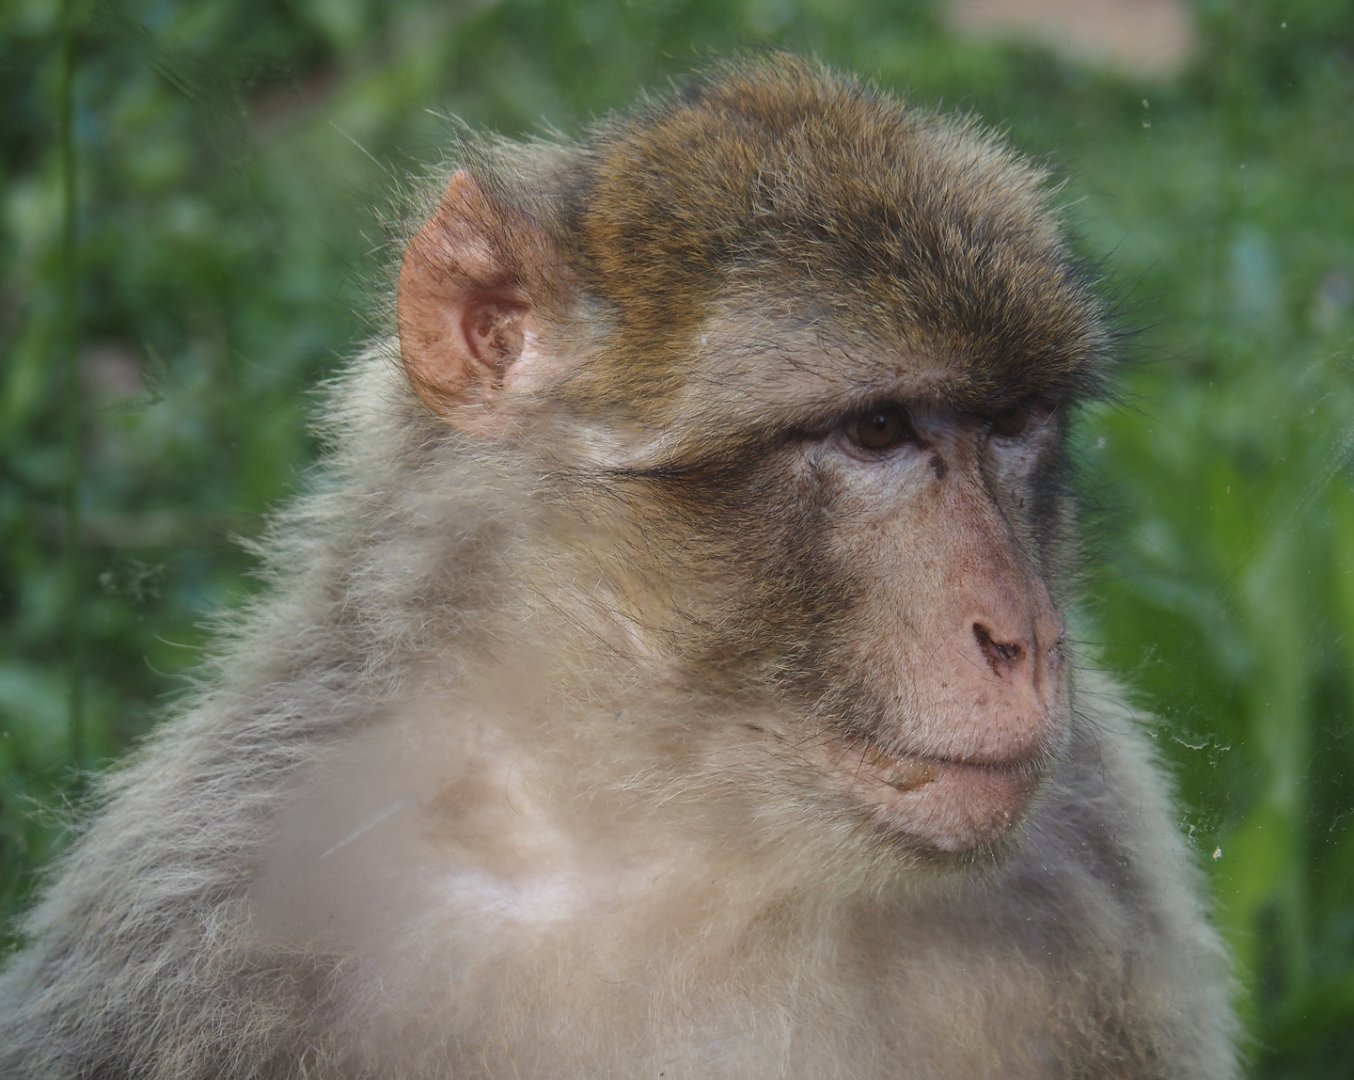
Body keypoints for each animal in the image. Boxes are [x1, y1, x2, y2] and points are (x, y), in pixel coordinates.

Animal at [0, 57, 1236, 1079]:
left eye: (1015, 424)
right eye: (877, 430)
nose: (1025, 640)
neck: (672, 840)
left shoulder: (1098, 862)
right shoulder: (212, 919)